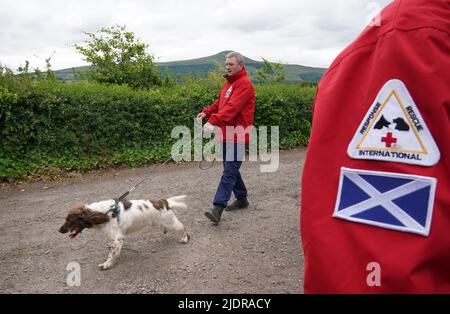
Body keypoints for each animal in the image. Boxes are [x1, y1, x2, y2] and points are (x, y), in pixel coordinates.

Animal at [58, 195, 190, 268]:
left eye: (69, 220)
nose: (59, 230)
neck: (105, 213)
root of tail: (163, 201)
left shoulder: (118, 238)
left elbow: (112, 254)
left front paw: (107, 264)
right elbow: (113, 250)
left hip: (170, 222)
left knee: (183, 228)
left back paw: (184, 238)